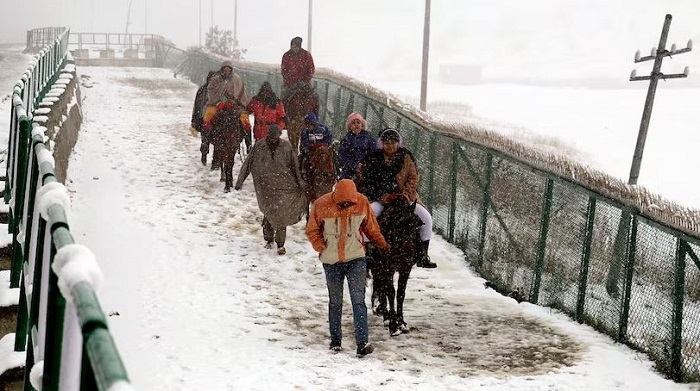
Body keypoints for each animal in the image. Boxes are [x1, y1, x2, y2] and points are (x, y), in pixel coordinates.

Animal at [370, 196, 424, 336]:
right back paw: (385, 315)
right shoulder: (387, 268)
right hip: (377, 266)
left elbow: (400, 293)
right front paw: (393, 325)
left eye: (416, 225)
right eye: (399, 224)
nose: (409, 252)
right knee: (381, 286)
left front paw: (402, 323)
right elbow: (391, 292)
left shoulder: (405, 268)